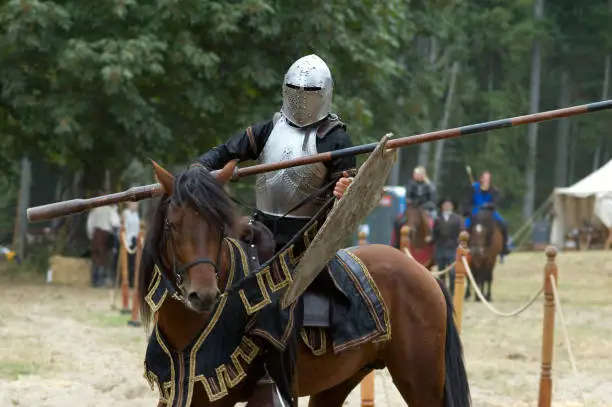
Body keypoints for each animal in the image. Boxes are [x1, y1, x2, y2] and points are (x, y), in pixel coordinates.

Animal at [140, 161, 474, 407]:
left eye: (219, 228)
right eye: (172, 225)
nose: (204, 295)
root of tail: (426, 275)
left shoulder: (213, 398)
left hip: (421, 380)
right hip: (341, 379)